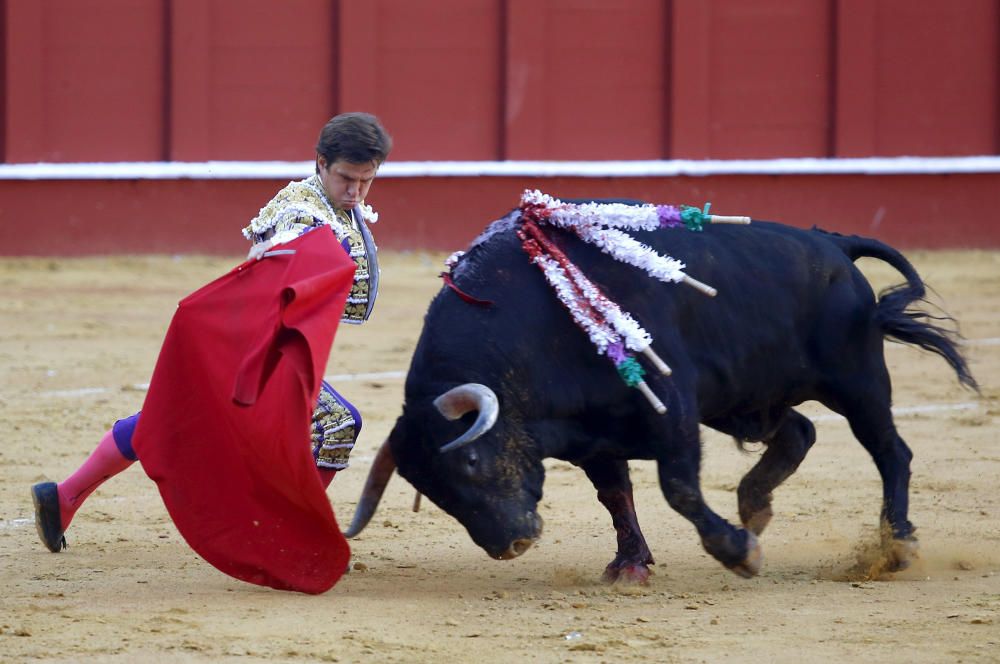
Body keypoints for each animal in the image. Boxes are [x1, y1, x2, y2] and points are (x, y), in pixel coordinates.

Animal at [344, 213, 976, 580]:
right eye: (430, 489)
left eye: (471, 461)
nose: (511, 543)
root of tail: (834, 244)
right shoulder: (594, 436)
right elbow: (617, 496)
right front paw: (630, 565)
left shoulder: (671, 407)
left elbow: (678, 488)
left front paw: (737, 553)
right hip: (742, 398)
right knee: (800, 431)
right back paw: (755, 503)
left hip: (858, 381)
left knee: (891, 451)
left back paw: (897, 546)